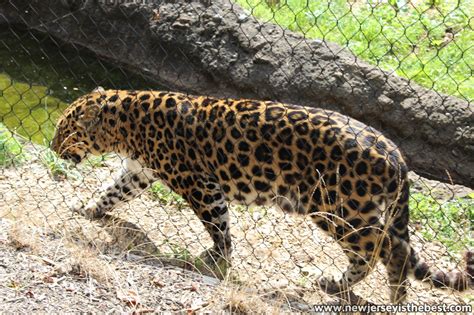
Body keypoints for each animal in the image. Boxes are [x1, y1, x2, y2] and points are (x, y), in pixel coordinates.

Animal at [50, 87, 472, 304]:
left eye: (66, 128)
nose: (53, 146)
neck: (124, 123)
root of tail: (395, 152)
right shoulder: (139, 172)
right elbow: (112, 192)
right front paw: (87, 208)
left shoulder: (197, 182)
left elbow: (217, 222)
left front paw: (216, 257)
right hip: (353, 209)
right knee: (388, 247)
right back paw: (354, 287)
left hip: (339, 207)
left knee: (382, 249)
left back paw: (383, 294)